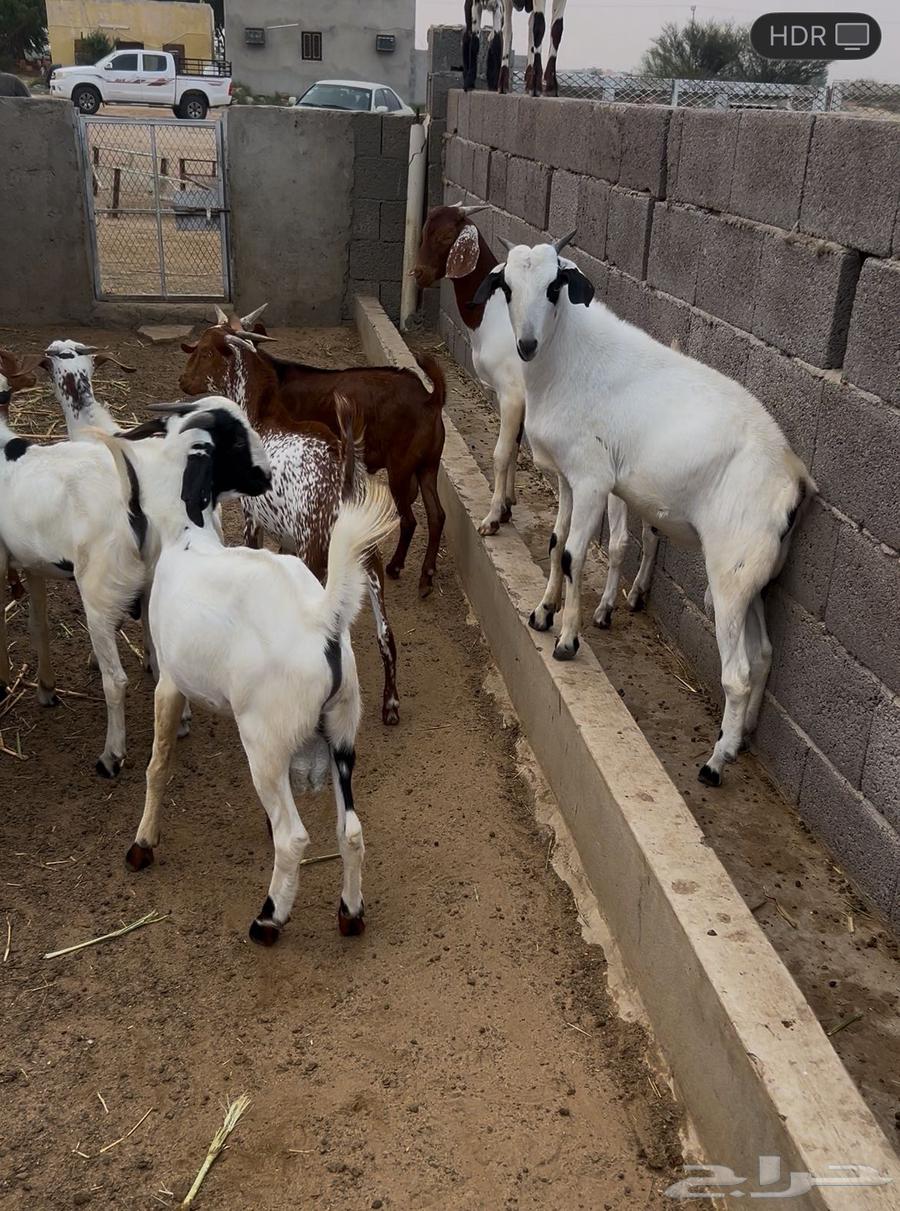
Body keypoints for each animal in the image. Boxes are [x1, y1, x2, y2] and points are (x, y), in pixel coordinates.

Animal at [0, 353, 148, 777]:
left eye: (6, 392)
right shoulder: (32, 563)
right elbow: (39, 625)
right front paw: (46, 688)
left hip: (98, 593)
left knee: (116, 680)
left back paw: (110, 756)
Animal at [122, 398, 396, 944]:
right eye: (237, 438)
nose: (268, 475)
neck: (189, 538)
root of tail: (321, 619)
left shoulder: (170, 683)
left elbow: (158, 765)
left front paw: (143, 844)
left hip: (265, 742)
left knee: (295, 838)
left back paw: (268, 919)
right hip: (342, 735)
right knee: (351, 831)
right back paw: (350, 914)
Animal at [180, 306, 447, 599]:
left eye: (206, 352)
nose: (183, 381)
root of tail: (430, 397)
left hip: (401, 469)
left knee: (409, 520)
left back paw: (397, 566)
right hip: (427, 467)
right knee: (437, 515)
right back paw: (426, 576)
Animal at [415, 205, 660, 620]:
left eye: (446, 236)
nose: (417, 275)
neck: (492, 317)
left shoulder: (513, 394)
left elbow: (500, 453)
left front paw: (492, 519)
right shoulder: (517, 400)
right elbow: (514, 448)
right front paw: (508, 505)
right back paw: (637, 594)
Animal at [473, 236, 815, 786]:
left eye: (554, 284)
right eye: (506, 285)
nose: (525, 344)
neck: (568, 360)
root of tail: (794, 476)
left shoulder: (593, 480)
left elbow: (573, 556)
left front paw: (567, 641)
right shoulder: (568, 476)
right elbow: (555, 541)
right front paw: (543, 613)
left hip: (729, 573)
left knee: (738, 673)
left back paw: (716, 762)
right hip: (753, 577)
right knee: (764, 655)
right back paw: (741, 738)